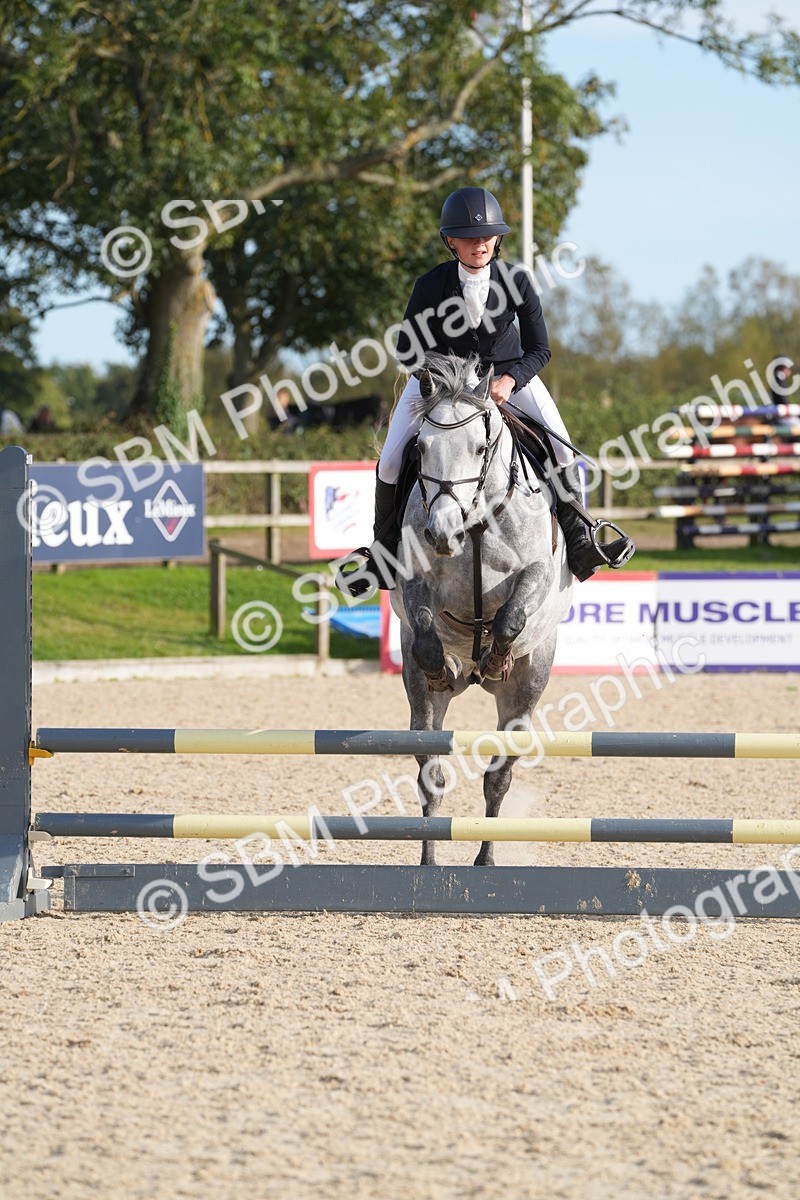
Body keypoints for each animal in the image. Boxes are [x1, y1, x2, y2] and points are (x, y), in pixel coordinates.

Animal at [389, 353, 574, 866]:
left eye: (479, 447)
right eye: (420, 449)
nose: (441, 533)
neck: (474, 522)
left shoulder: (536, 572)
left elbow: (511, 616)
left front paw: (494, 657)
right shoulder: (414, 581)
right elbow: (425, 628)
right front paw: (442, 664)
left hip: (527, 688)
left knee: (499, 776)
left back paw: (486, 860)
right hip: (420, 698)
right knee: (430, 773)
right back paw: (430, 861)